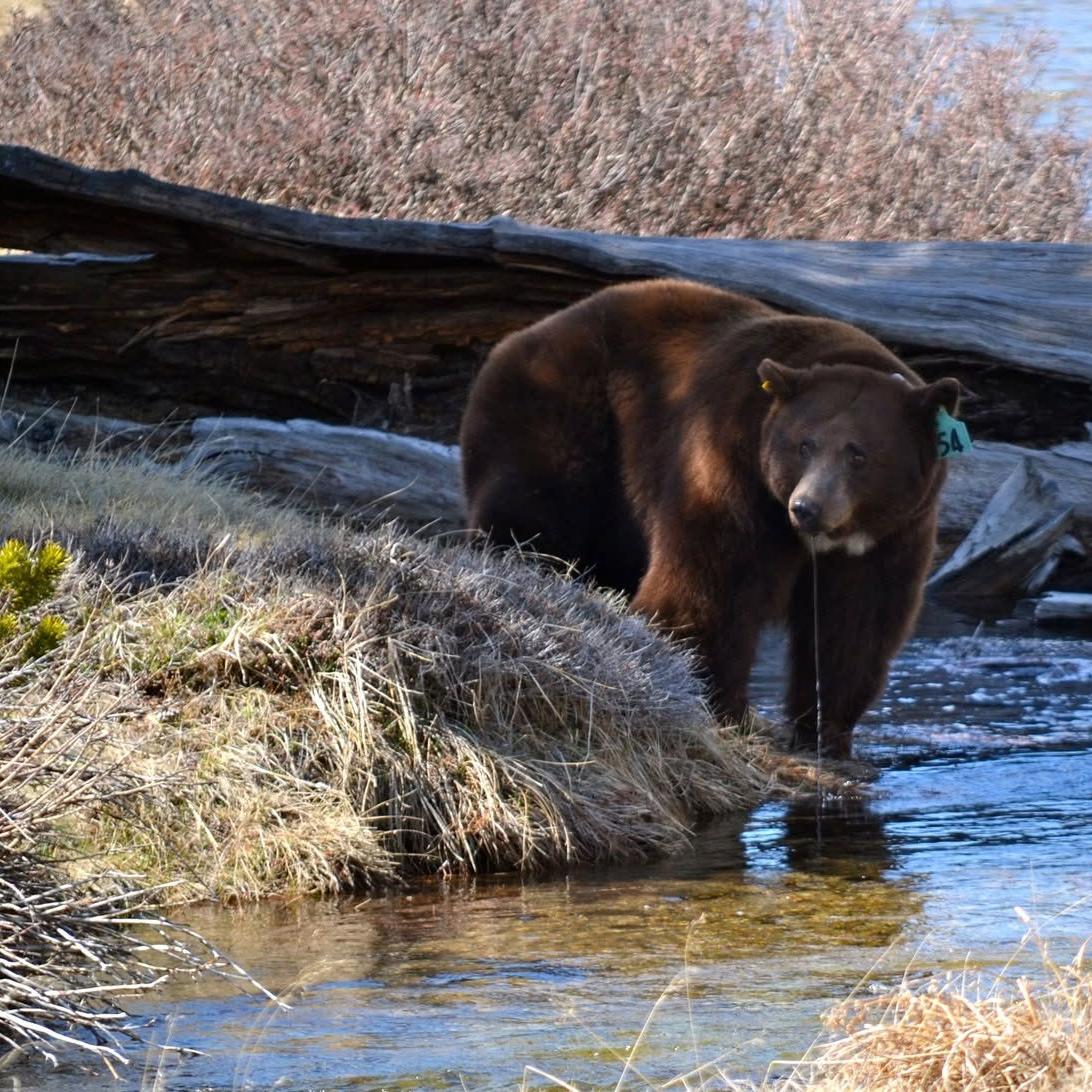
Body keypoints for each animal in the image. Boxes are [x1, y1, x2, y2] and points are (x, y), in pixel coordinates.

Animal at [459, 279, 960, 758]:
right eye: (805, 444)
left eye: (858, 454)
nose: (807, 507)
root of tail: (515, 339)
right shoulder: (728, 468)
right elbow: (712, 586)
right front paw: (717, 704)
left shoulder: (893, 535)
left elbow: (855, 623)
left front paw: (825, 731)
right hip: (565, 423)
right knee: (535, 512)